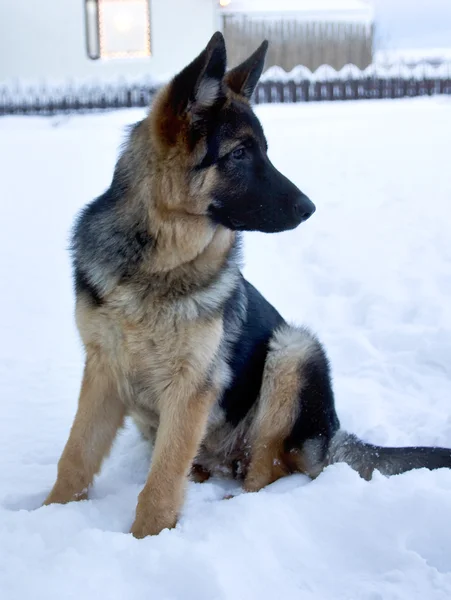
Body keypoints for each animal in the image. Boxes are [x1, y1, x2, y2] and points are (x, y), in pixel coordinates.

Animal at [44, 34, 451, 540]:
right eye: (239, 154)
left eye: (264, 151)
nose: (309, 207)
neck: (156, 266)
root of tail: (332, 436)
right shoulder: (103, 372)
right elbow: (76, 457)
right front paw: (47, 516)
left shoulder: (191, 388)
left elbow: (161, 483)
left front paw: (147, 539)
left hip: (292, 349)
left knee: (267, 470)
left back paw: (234, 507)